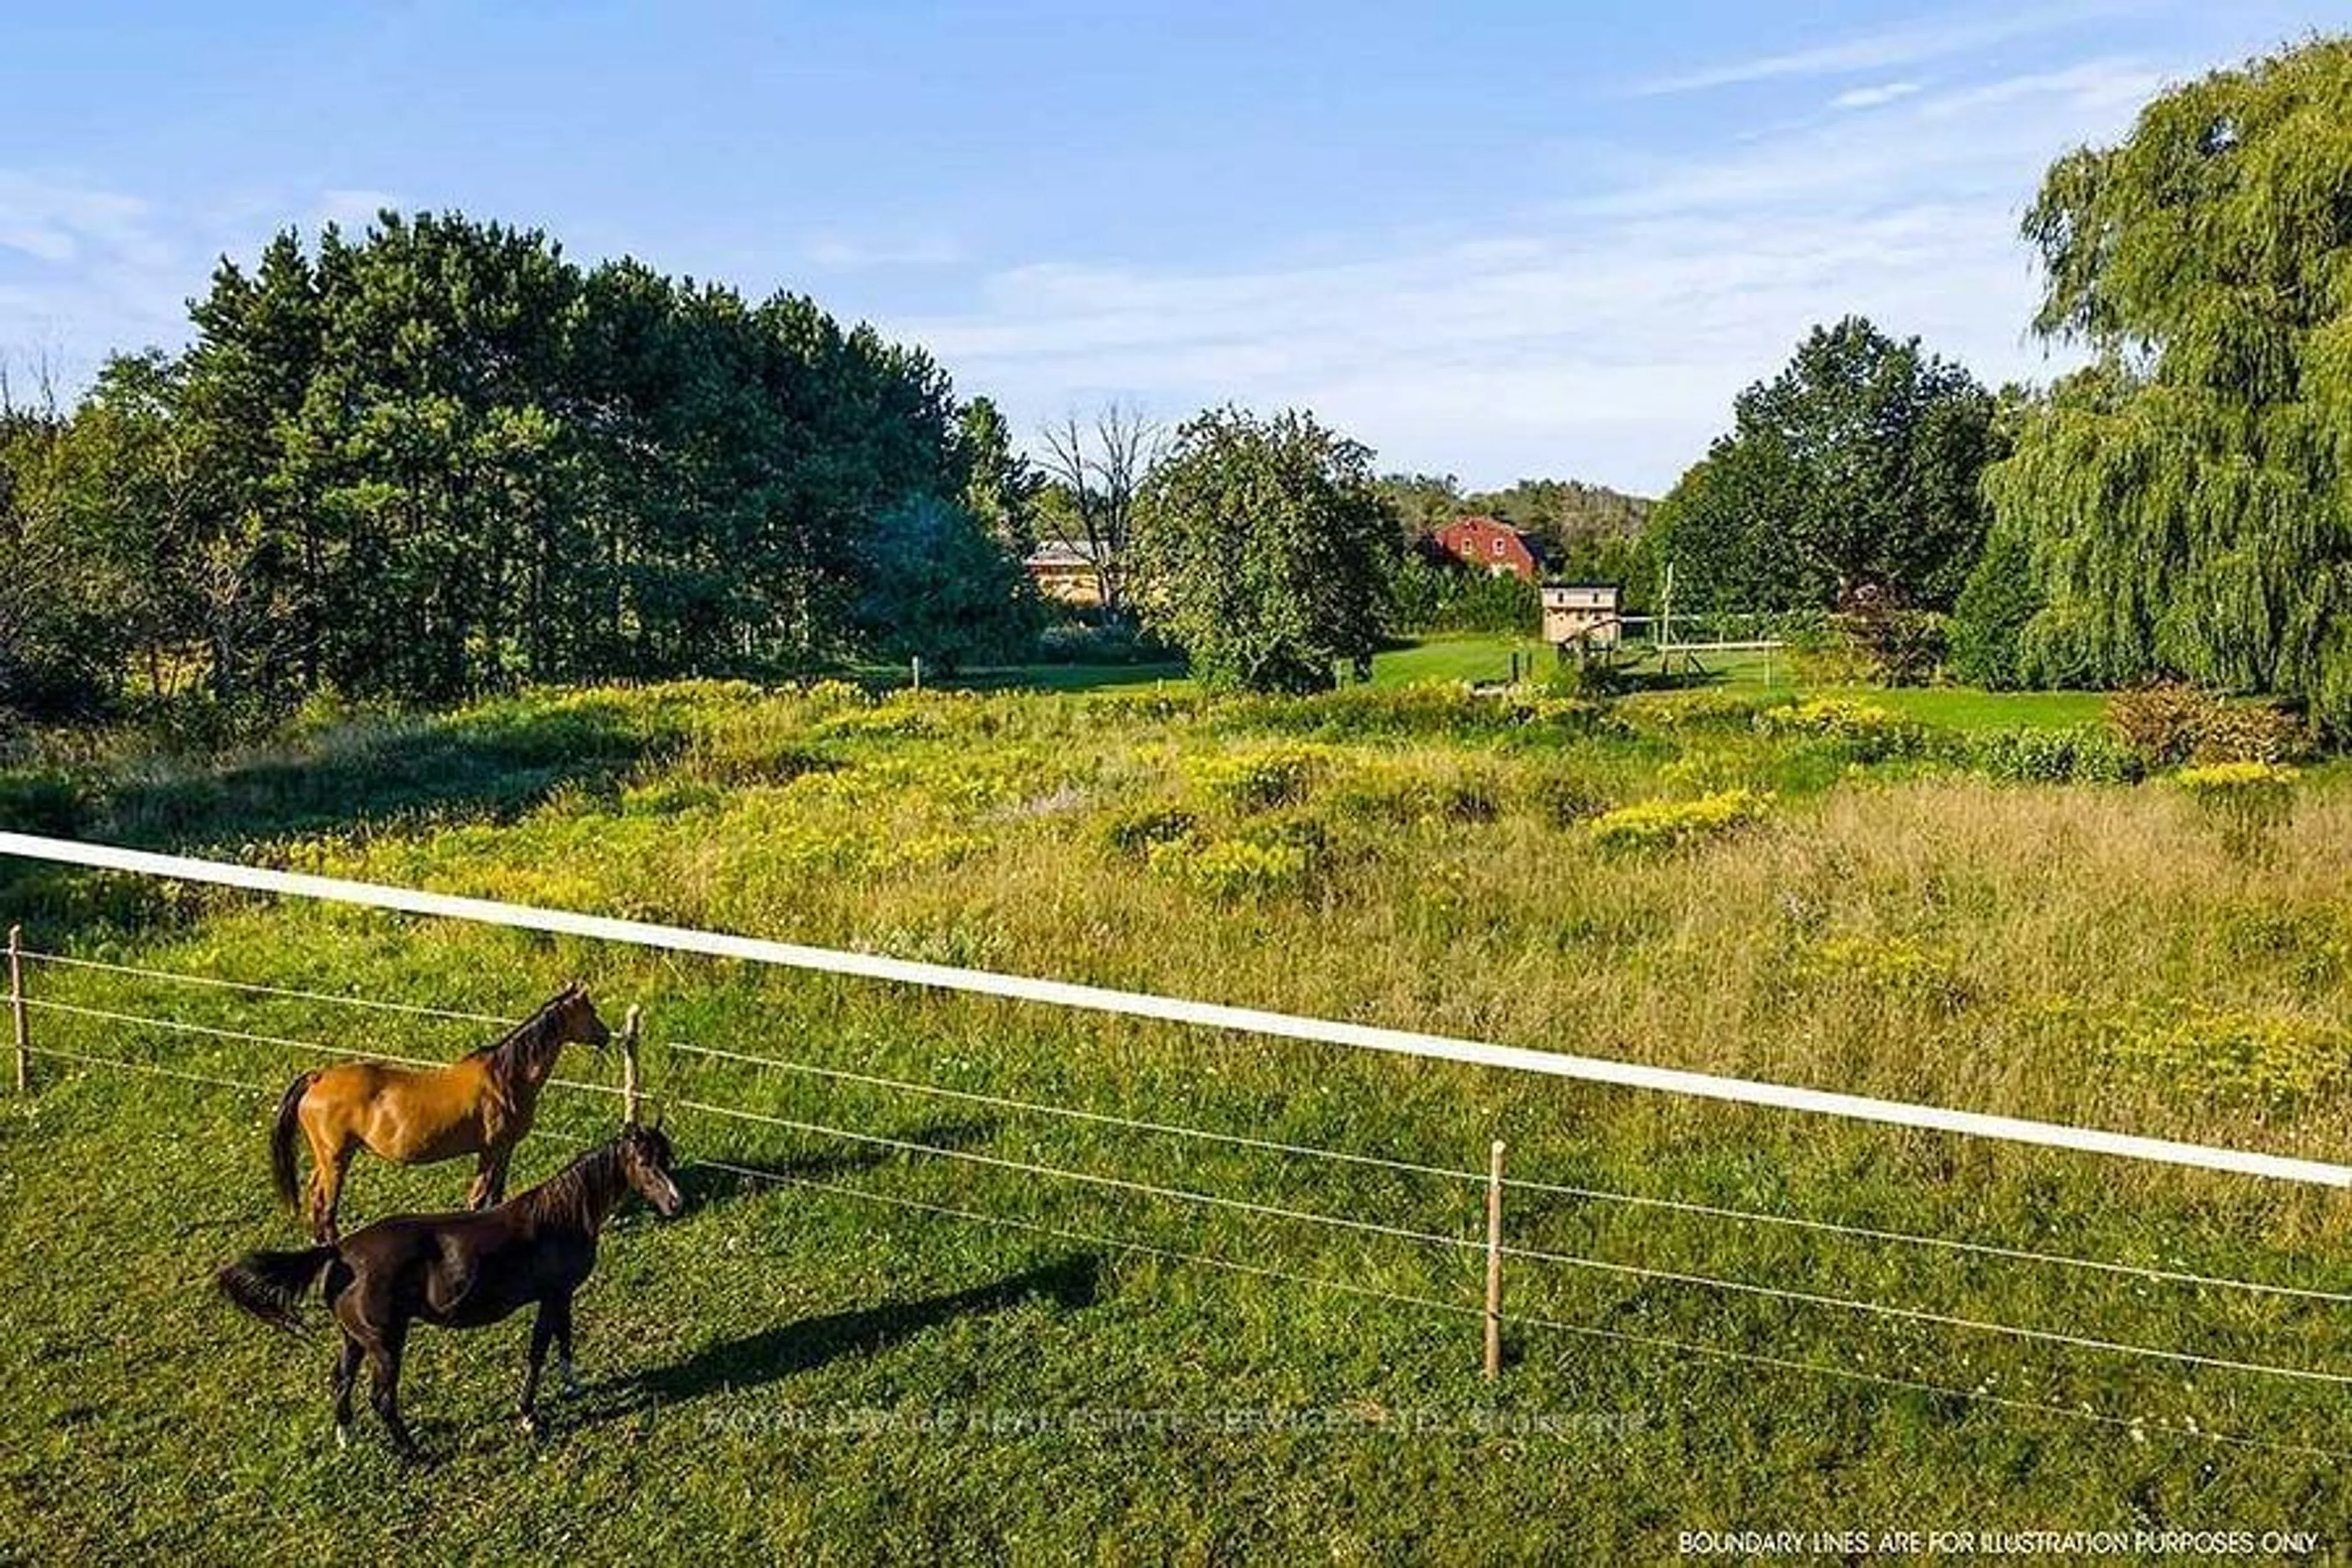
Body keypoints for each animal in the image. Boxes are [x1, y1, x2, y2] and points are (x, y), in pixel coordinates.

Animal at [220, 1123, 687, 1457]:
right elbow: (539, 1352)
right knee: (382, 1399)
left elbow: (563, 1340)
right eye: (644, 1162)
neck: (562, 1217)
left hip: (354, 1340)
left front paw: (573, 1385)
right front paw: (528, 1416)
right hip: (386, 1345)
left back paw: (345, 1439)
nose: (676, 1204)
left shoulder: (561, 1297)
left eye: (667, 1158)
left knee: (341, 1380)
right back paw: (414, 1453)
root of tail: (342, 1251)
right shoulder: (553, 1297)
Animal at [269, 982, 616, 1241]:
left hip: (328, 1158)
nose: (606, 1036)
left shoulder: (503, 1150)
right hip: (336, 1158)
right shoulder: (493, 1149)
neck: (507, 1078)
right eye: (591, 1012)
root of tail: (318, 1077)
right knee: (326, 1203)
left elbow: (493, 1196)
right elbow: (481, 1198)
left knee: (316, 1195)